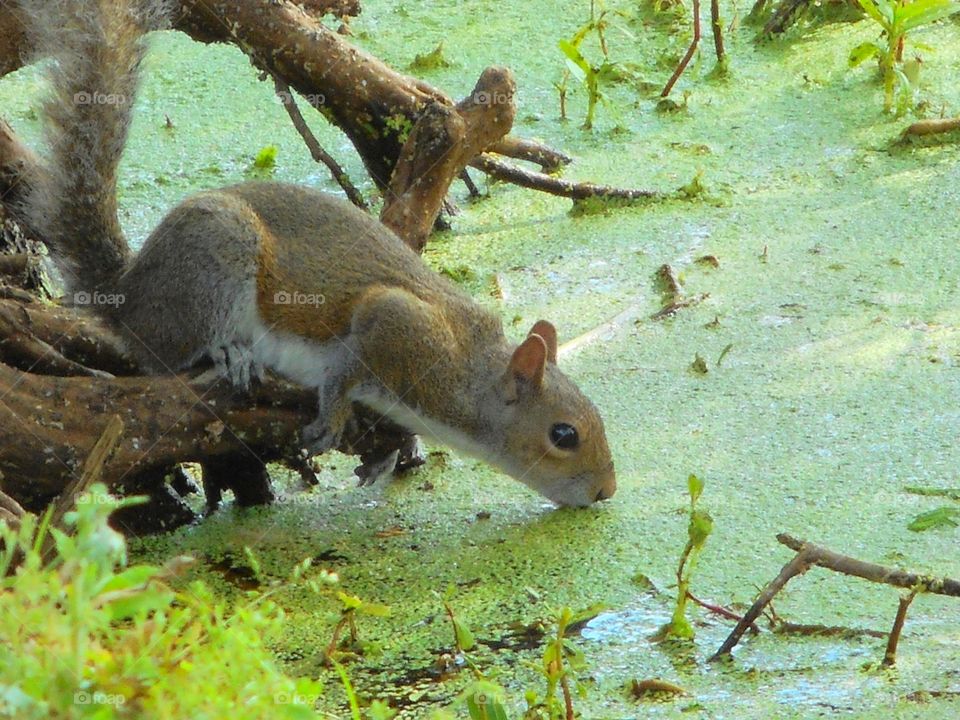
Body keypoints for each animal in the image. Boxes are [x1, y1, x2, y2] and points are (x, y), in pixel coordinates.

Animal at [18, 0, 620, 506]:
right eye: (563, 434)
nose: (606, 491)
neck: (468, 373)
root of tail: (128, 295)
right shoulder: (396, 325)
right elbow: (347, 364)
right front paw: (334, 414)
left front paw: (390, 452)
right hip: (216, 262)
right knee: (166, 356)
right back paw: (227, 354)